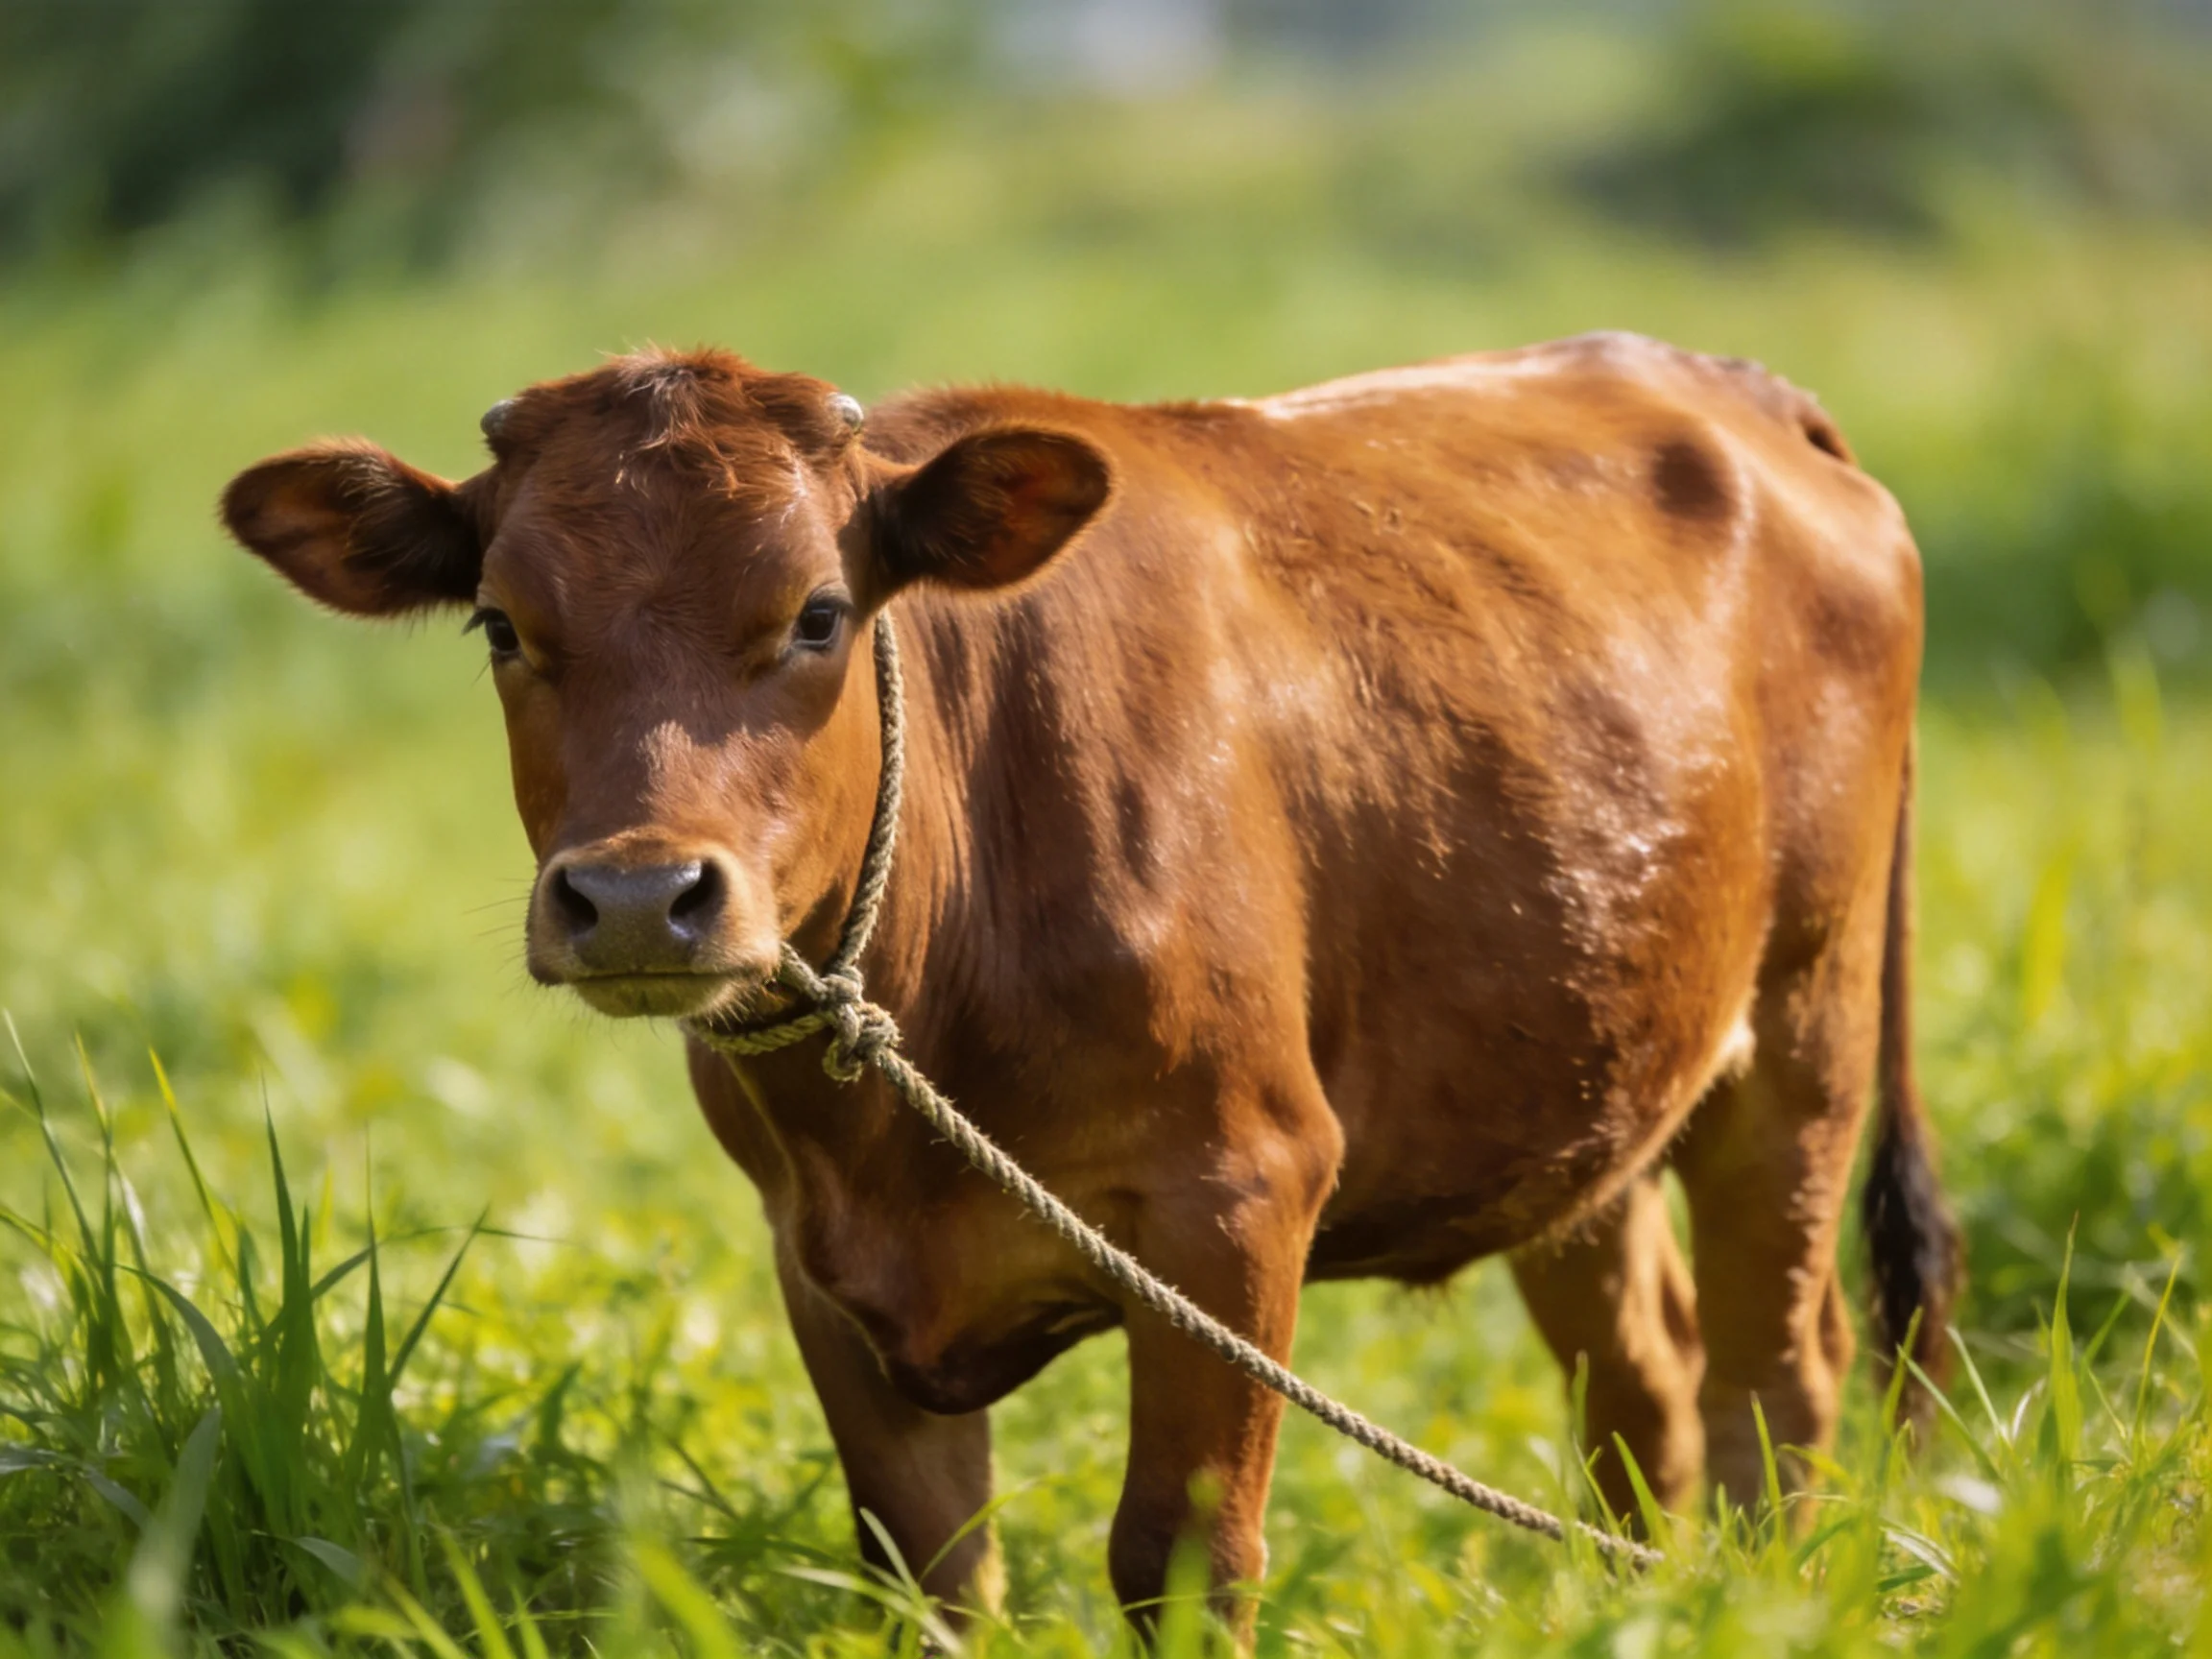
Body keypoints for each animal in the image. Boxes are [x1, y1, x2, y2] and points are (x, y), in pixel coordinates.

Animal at [221, 331, 1961, 1634]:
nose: (640, 895)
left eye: (818, 614)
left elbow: (1179, 1558)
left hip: (1802, 1033)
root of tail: (1725, 384)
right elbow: (928, 1571)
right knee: (1642, 1376)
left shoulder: (1237, 1196)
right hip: (1583, 1065)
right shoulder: (816, 1263)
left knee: (1775, 1380)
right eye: (502, 625)